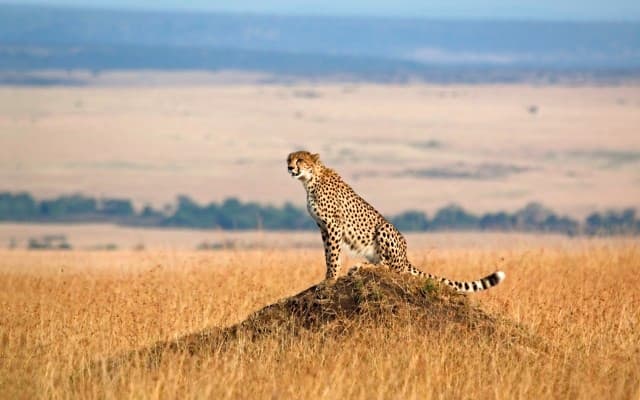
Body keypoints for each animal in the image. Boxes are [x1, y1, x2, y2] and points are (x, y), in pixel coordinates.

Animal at [286, 150, 505, 293]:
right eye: (289, 159)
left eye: (300, 160)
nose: (289, 167)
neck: (310, 180)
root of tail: (406, 256)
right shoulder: (323, 227)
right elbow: (328, 254)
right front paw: (328, 276)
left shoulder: (333, 225)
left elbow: (333, 255)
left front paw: (330, 279)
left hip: (384, 228)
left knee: (390, 267)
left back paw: (362, 267)